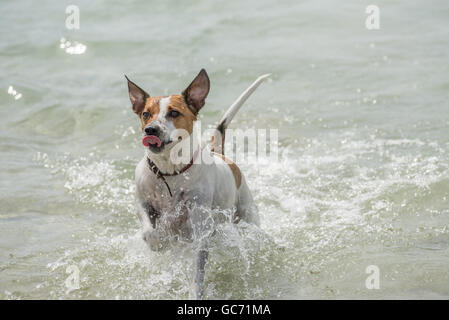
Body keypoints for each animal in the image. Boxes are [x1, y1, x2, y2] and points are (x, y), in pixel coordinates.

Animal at [124, 69, 268, 298]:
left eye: (174, 113)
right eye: (146, 113)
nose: (151, 130)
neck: (170, 172)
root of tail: (219, 153)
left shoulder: (200, 228)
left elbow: (198, 271)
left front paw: (195, 292)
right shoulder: (143, 203)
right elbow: (148, 229)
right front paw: (157, 241)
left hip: (247, 213)